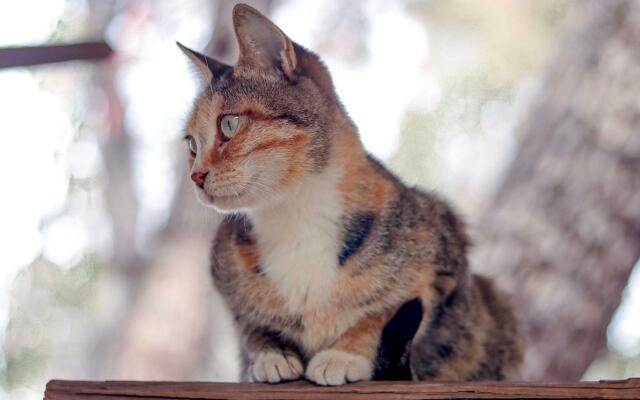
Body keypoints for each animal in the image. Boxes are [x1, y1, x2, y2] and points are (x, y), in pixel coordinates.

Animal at [178, 2, 524, 384]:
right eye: (191, 144)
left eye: (229, 124)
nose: (195, 176)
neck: (296, 216)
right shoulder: (224, 271)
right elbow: (250, 324)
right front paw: (270, 354)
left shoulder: (443, 253)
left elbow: (385, 314)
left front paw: (342, 355)